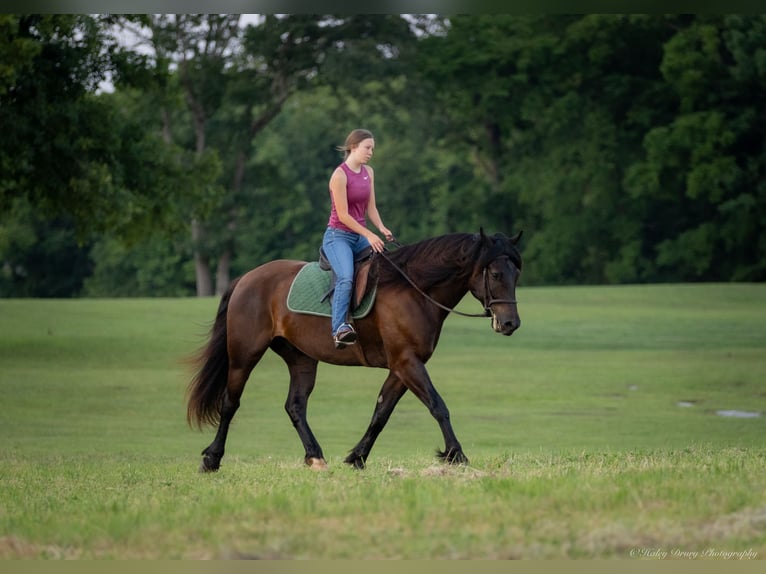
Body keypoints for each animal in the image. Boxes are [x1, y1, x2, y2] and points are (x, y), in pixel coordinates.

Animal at [188, 230, 520, 472]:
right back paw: (212, 459)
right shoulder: (408, 363)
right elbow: (438, 406)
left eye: (515, 274)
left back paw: (315, 456)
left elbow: (381, 413)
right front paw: (456, 454)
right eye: (495, 274)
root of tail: (246, 278)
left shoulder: (401, 367)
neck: (412, 290)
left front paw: (357, 457)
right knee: (230, 403)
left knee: (295, 406)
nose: (510, 323)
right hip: (244, 355)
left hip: (301, 359)